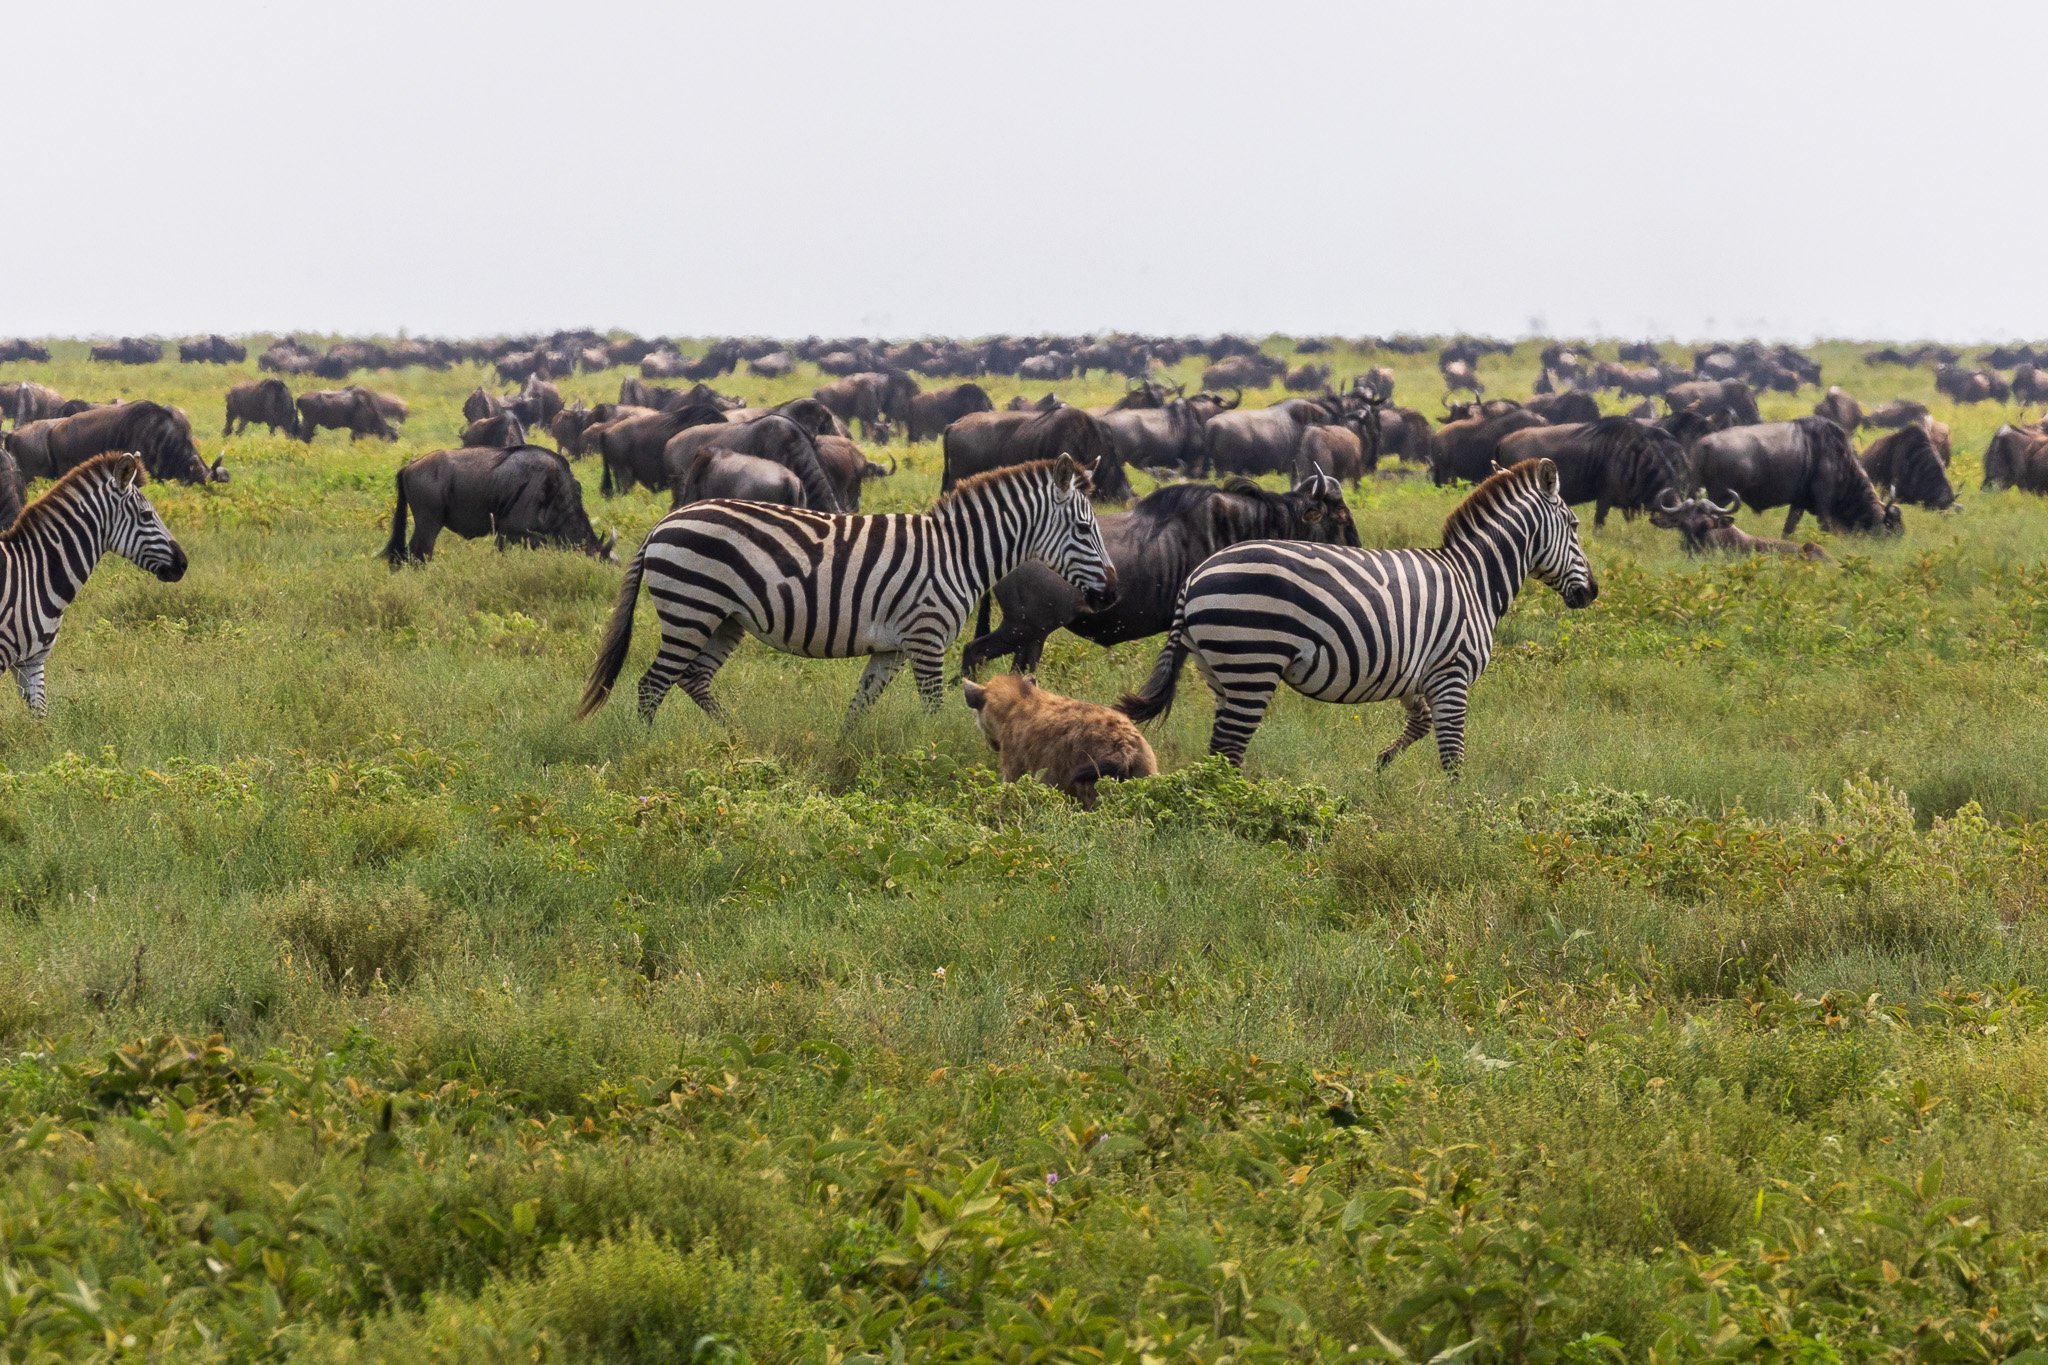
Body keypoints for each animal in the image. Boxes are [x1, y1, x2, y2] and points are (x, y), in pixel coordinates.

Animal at [577, 454, 1122, 724]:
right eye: (1083, 529)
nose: (1113, 595)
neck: (958, 554)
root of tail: (664, 521)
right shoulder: (926, 639)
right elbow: (933, 713)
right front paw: (935, 766)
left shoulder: (891, 649)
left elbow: (858, 711)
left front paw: (847, 758)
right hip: (692, 609)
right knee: (652, 685)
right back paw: (647, 746)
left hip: (726, 619)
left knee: (693, 680)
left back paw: (737, 740)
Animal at [1122, 458, 1597, 773]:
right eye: (1575, 525)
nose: (1591, 592)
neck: (1473, 578)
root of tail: (1194, 578)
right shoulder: (1452, 674)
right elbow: (1452, 757)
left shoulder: (1416, 674)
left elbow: (1420, 723)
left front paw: (1381, 765)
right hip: (1252, 664)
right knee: (1229, 748)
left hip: (1220, 670)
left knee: (1219, 752)